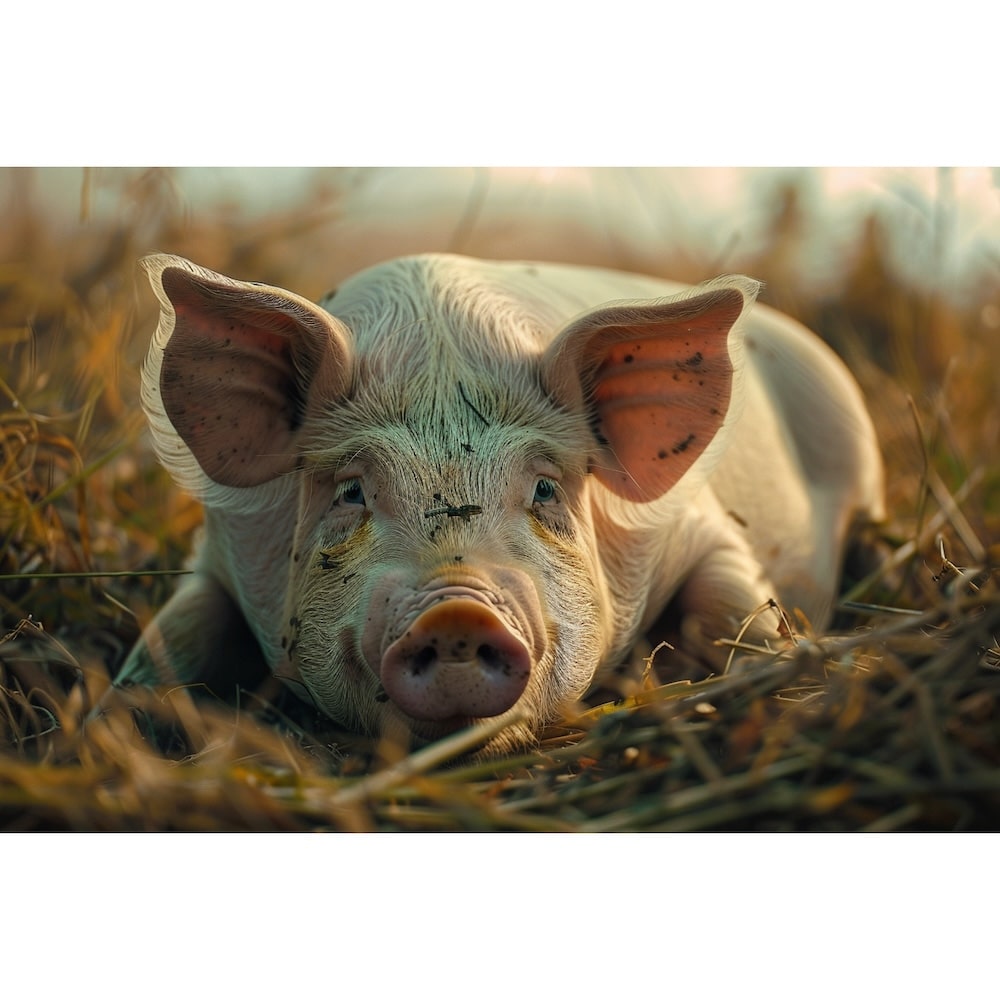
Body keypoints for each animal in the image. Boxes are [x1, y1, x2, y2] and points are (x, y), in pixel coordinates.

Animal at [118, 252, 884, 754]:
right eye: (352, 491)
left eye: (544, 488)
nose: (457, 610)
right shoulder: (218, 550)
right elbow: (172, 640)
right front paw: (116, 715)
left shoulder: (701, 526)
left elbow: (735, 610)